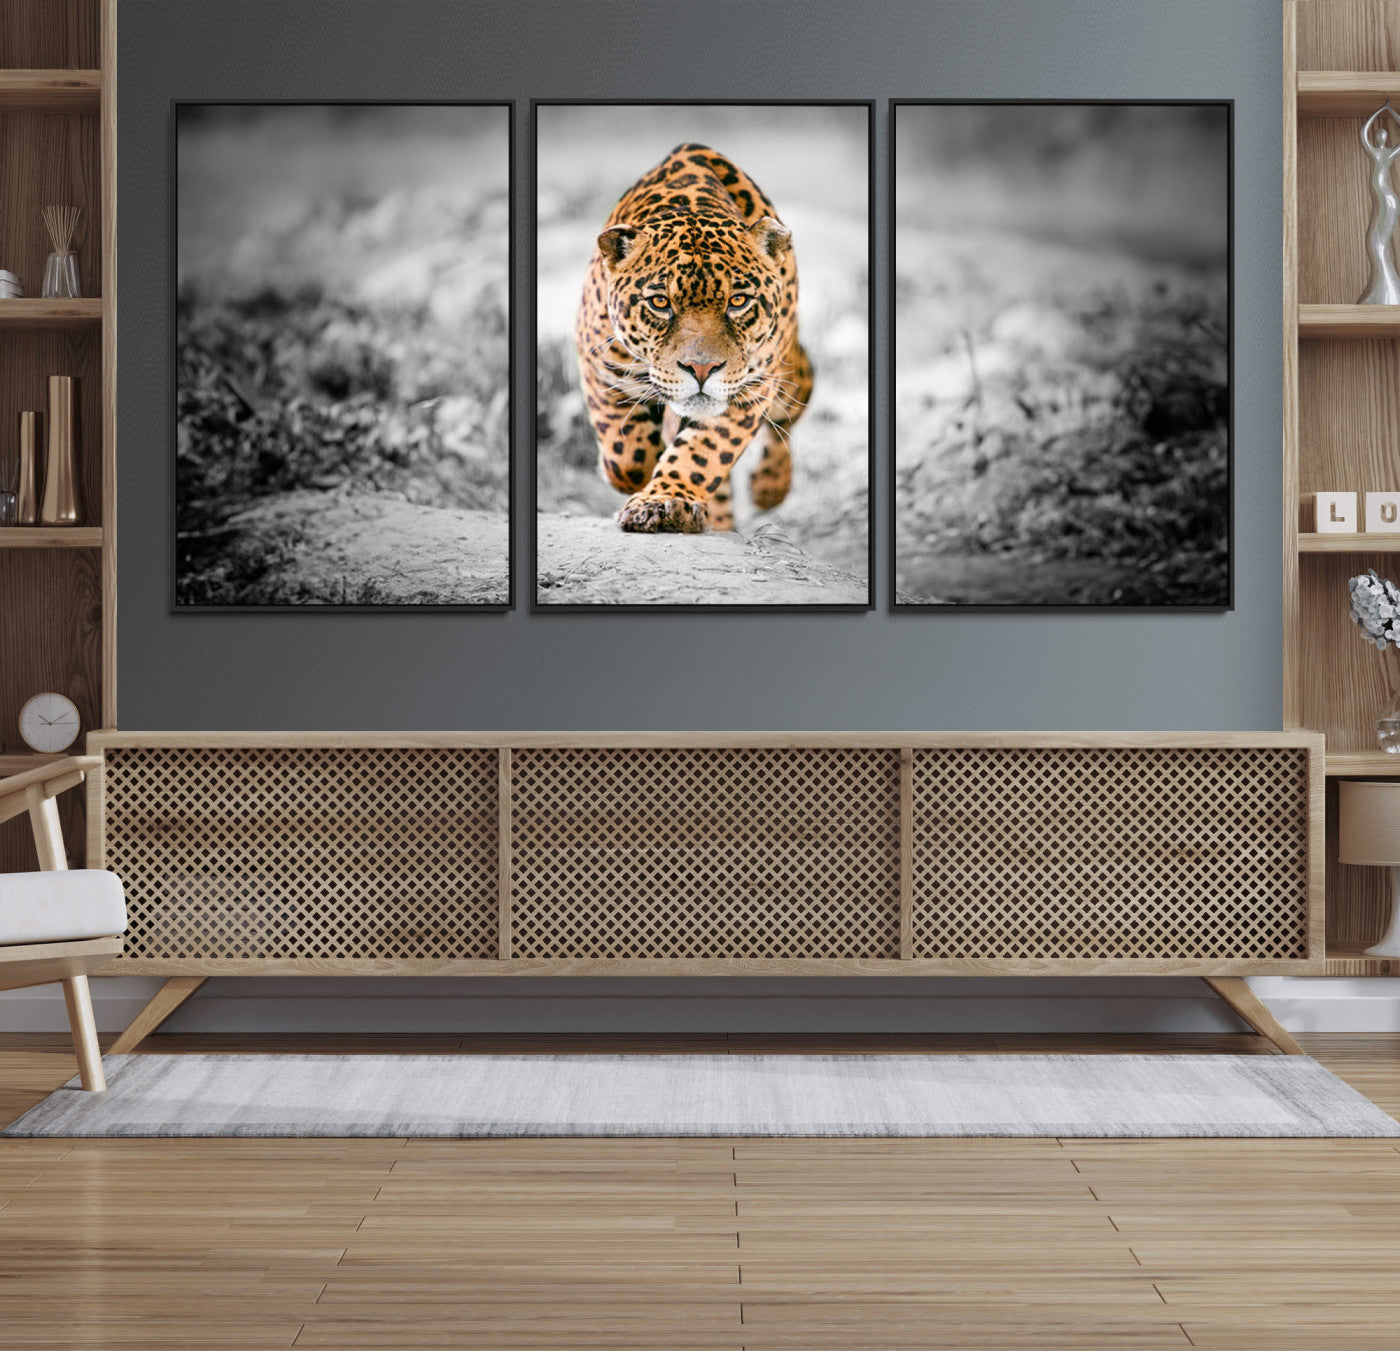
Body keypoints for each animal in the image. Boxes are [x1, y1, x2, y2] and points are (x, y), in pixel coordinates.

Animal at [574, 142, 814, 533]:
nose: (701, 369)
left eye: (738, 301)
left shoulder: (751, 388)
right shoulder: (600, 364)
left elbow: (704, 452)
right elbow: (626, 454)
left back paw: (769, 487)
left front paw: (664, 501)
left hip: (787, 375)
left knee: (790, 411)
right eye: (660, 302)